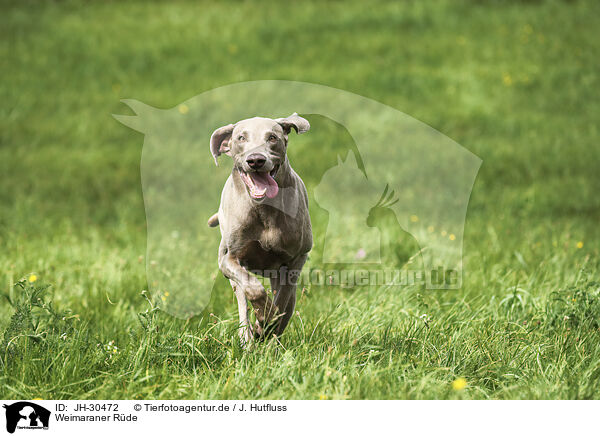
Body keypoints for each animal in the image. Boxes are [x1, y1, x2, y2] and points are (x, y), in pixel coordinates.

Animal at [207, 114, 312, 346]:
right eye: (241, 138)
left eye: (272, 137)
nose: (256, 160)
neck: (264, 208)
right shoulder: (228, 260)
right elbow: (252, 288)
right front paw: (263, 317)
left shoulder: (296, 259)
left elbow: (282, 302)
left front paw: (268, 322)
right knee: (243, 301)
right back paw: (248, 338)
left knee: (287, 304)